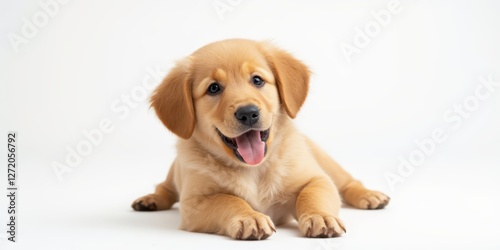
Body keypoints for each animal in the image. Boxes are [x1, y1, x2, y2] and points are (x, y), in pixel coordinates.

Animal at [134, 38, 390, 239]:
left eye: (257, 80)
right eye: (214, 88)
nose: (248, 113)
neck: (253, 169)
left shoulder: (316, 179)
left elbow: (312, 194)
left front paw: (321, 217)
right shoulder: (194, 203)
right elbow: (229, 200)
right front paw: (250, 217)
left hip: (325, 160)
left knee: (348, 182)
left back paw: (369, 195)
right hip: (174, 170)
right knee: (165, 187)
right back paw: (150, 199)